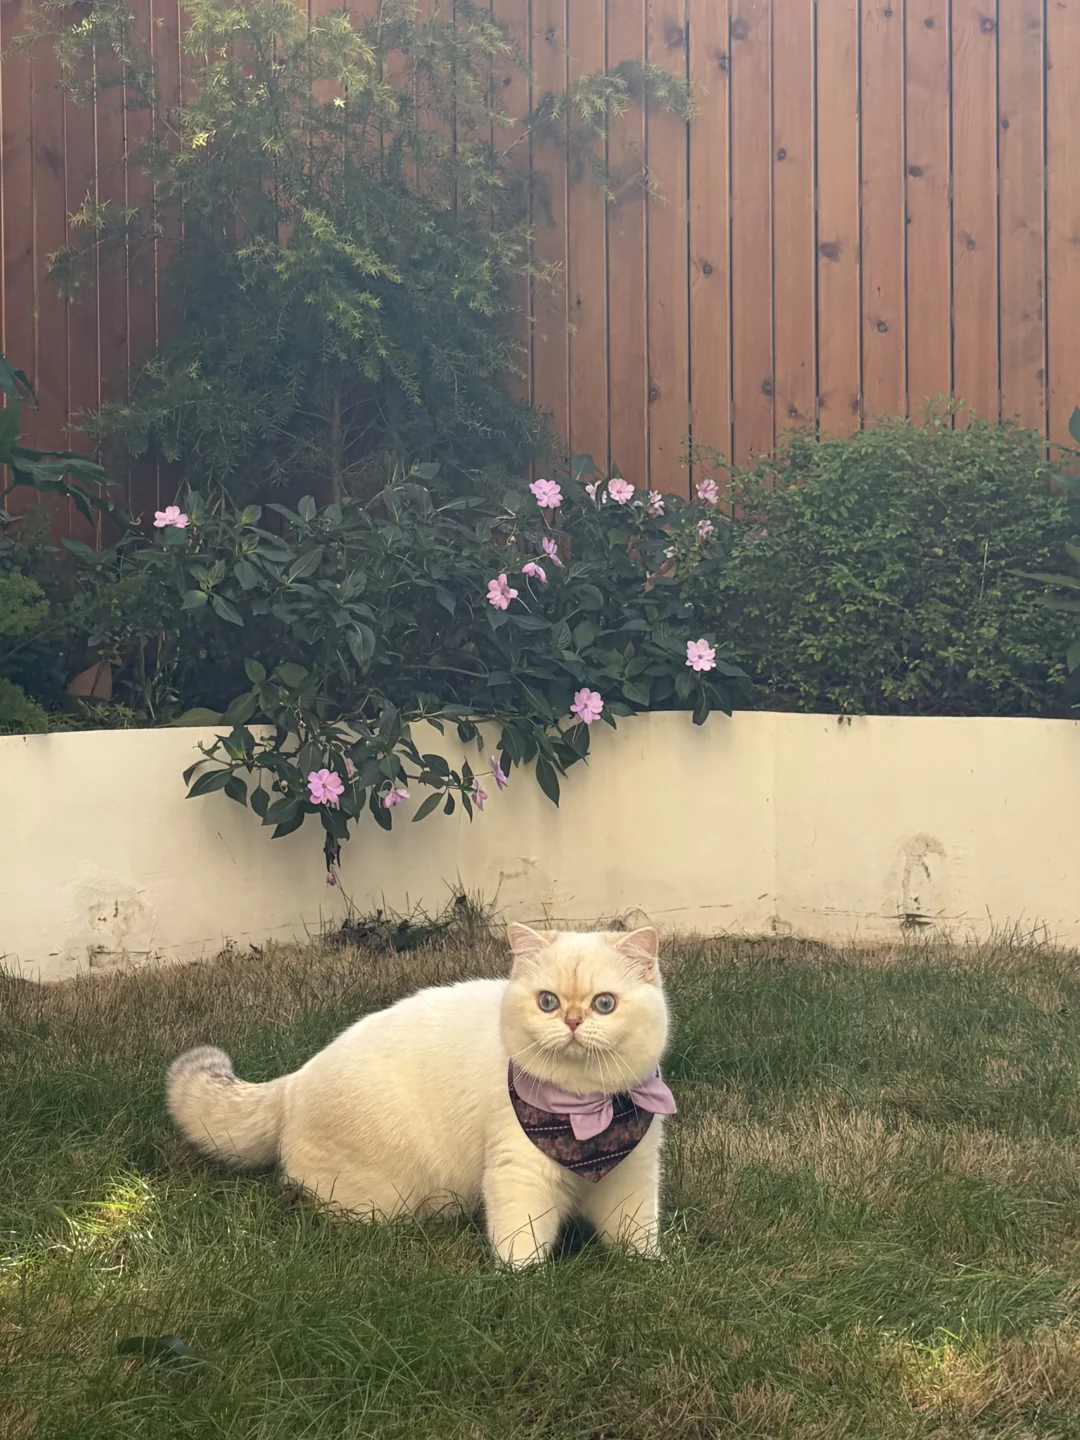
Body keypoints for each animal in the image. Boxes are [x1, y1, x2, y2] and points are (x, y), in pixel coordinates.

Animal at [167, 923, 676, 1267]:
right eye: (547, 1002)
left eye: (604, 1004)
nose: (571, 1021)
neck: (588, 1113)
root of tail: (293, 1080)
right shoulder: (518, 1176)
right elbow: (521, 1243)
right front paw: (522, 1283)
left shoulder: (632, 1176)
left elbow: (638, 1237)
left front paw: (649, 1270)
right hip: (382, 1202)